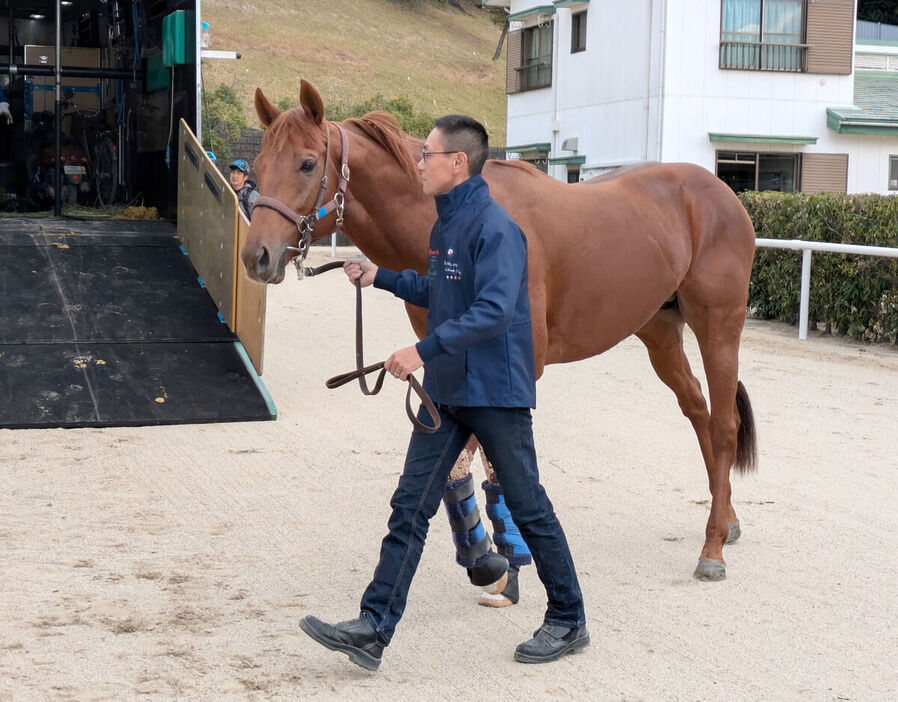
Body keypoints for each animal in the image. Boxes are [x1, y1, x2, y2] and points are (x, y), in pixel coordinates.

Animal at [240, 81, 756, 584]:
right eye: (259, 167)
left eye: (308, 163)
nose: (256, 256)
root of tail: (720, 190)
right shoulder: (446, 366)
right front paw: (493, 551)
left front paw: (494, 551)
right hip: (658, 330)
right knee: (698, 409)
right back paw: (728, 518)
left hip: (719, 324)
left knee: (724, 423)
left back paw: (712, 547)